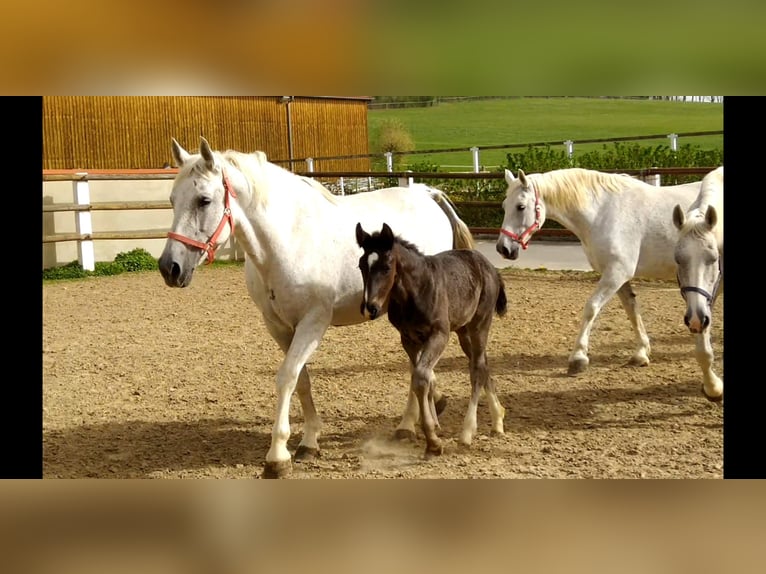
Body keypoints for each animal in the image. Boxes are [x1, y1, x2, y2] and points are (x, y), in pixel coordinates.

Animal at [159, 137, 476, 480]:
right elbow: (302, 380)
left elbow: (286, 377)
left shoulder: (313, 323)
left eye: (204, 200)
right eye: (173, 199)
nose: (169, 267)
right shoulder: (279, 326)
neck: (286, 240)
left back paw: (408, 425)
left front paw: (277, 456)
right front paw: (309, 442)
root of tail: (427, 194)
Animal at [358, 223, 510, 456]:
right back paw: (498, 420)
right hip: (463, 331)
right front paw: (431, 424)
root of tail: (490, 267)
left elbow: (421, 378)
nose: (370, 308)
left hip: (479, 325)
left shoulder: (439, 334)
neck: (416, 291)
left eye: (386, 267)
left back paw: (467, 432)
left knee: (476, 369)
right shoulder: (409, 339)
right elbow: (423, 377)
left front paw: (433, 441)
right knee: (483, 365)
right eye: (360, 266)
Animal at [498, 168, 720, 400]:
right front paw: (641, 353)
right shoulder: (617, 276)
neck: (603, 212)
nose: (503, 248)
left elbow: (591, 308)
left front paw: (578, 358)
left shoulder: (616, 273)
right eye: (504, 205)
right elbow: (631, 310)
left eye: (520, 206)